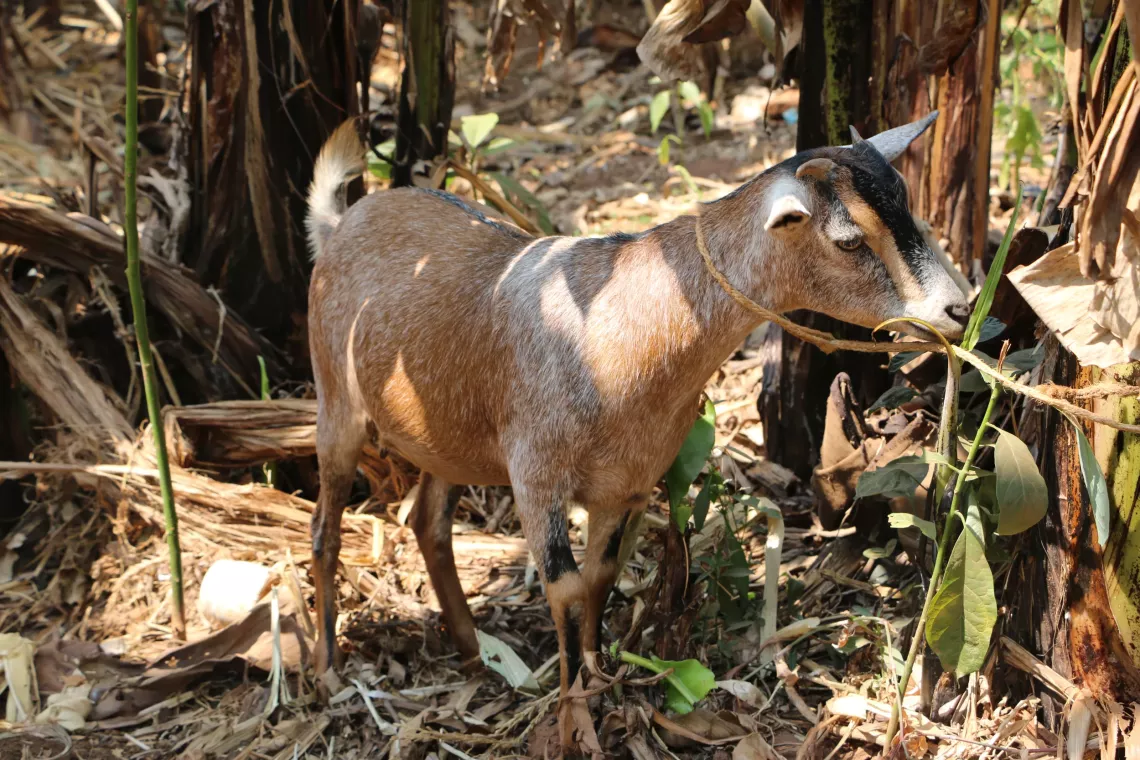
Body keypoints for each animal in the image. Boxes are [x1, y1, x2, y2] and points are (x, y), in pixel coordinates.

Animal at [305, 112, 968, 739]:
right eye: (849, 240)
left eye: (908, 205)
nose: (959, 308)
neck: (615, 331)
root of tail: (340, 224)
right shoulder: (537, 479)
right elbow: (567, 590)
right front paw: (574, 724)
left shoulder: (624, 485)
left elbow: (599, 579)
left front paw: (601, 684)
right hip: (336, 397)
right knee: (325, 527)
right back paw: (327, 667)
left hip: (446, 433)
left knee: (428, 521)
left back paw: (473, 653)